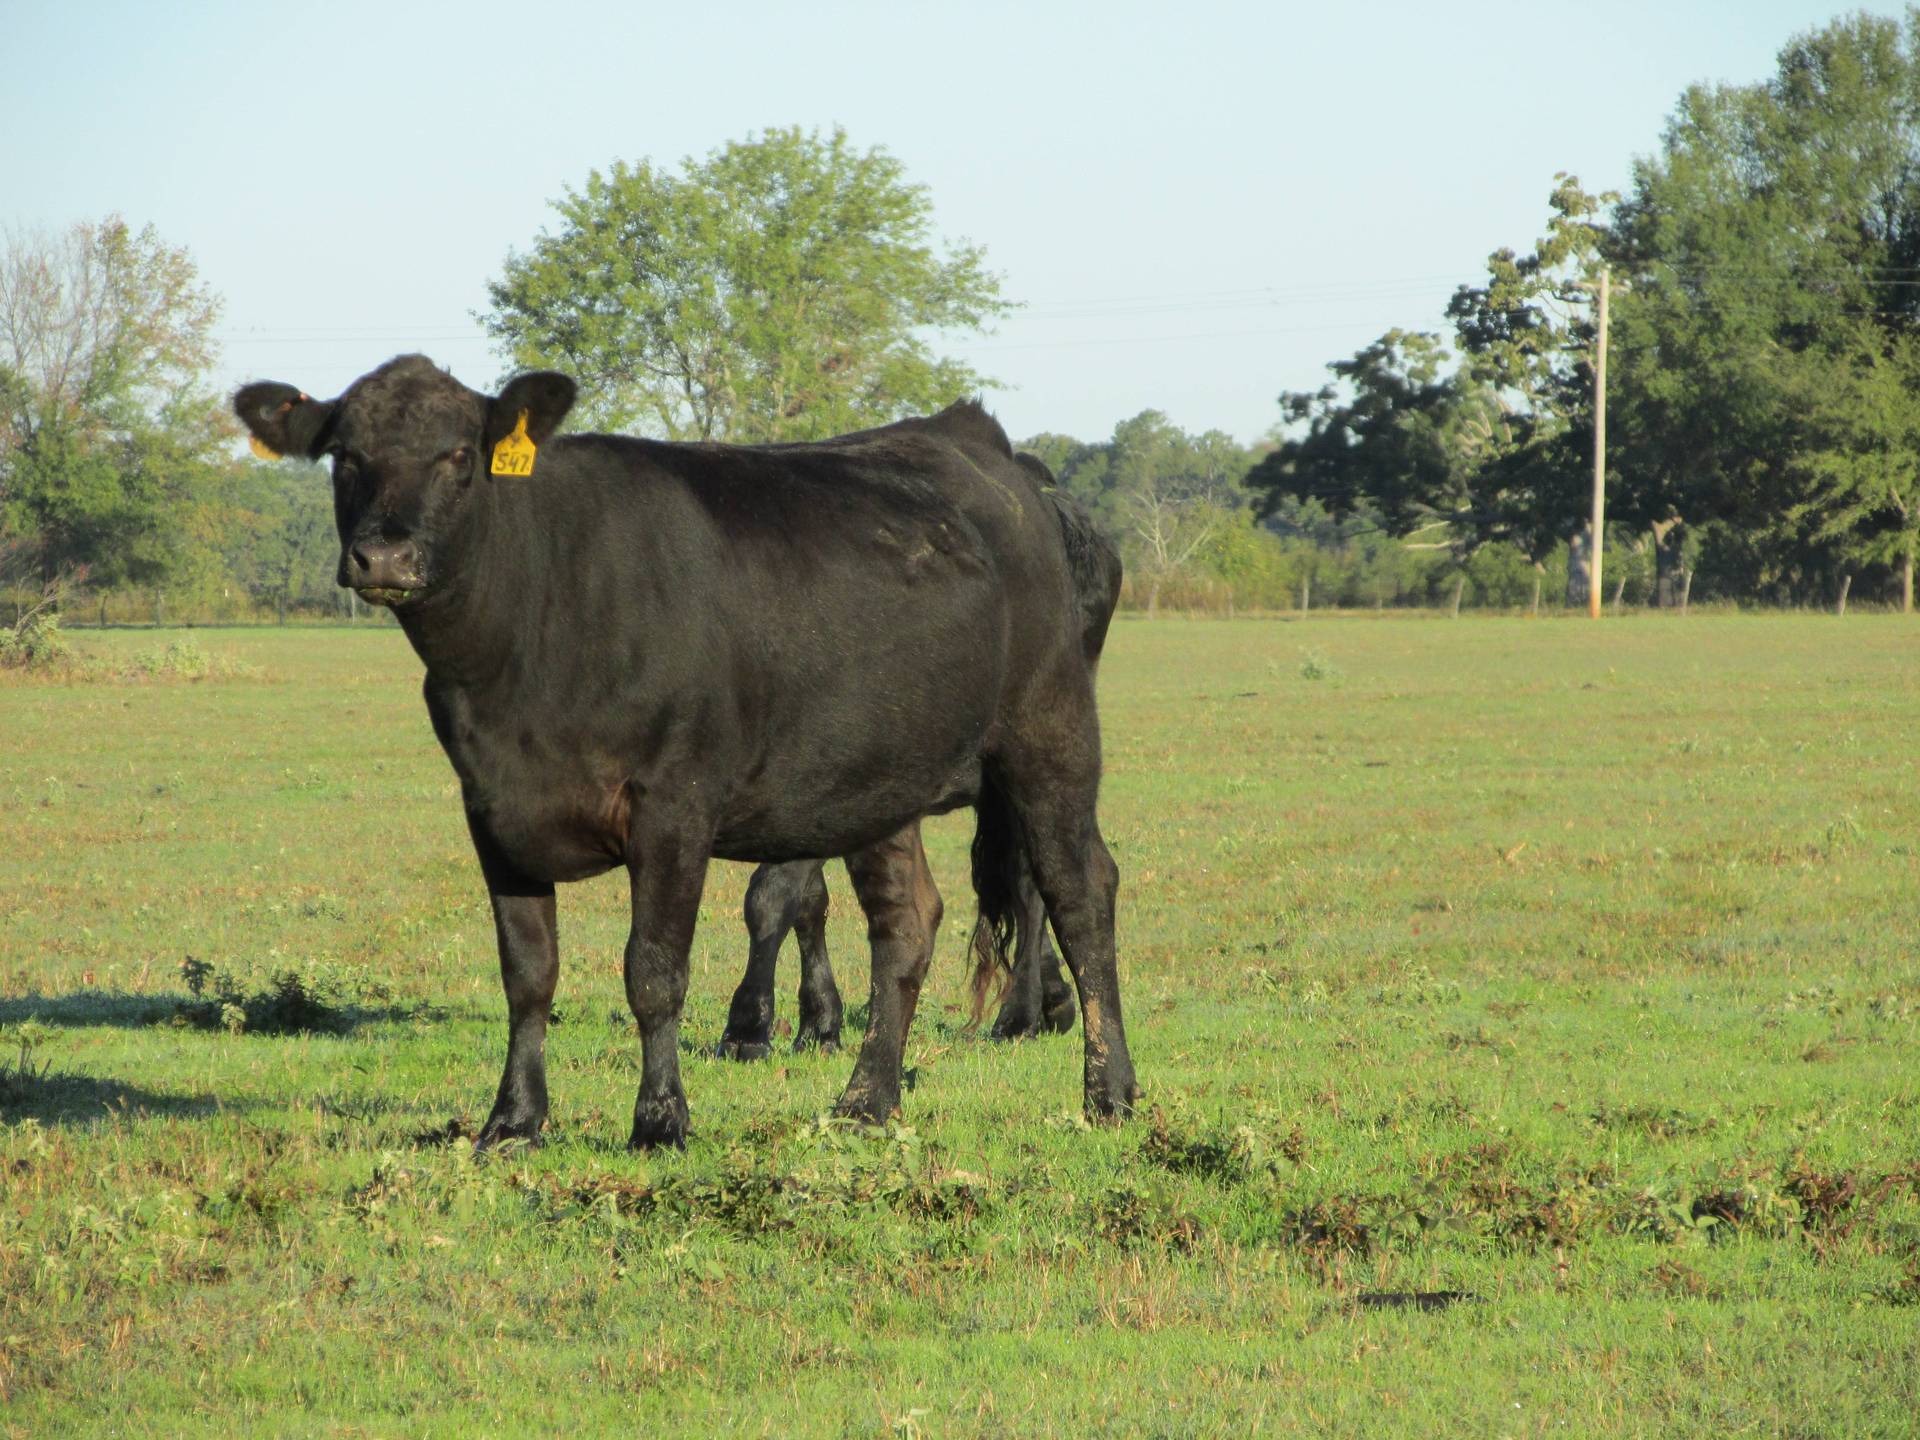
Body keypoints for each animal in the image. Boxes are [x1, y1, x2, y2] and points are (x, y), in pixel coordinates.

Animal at [240, 359, 1136, 1152]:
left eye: (460, 454)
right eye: (345, 455)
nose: (385, 557)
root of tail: (980, 446)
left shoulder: (673, 807)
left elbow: (655, 971)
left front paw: (660, 1120)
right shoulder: (491, 811)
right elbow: (528, 973)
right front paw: (514, 1121)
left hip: (1049, 733)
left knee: (1078, 891)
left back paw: (1107, 1091)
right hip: (882, 781)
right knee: (907, 921)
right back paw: (865, 1101)